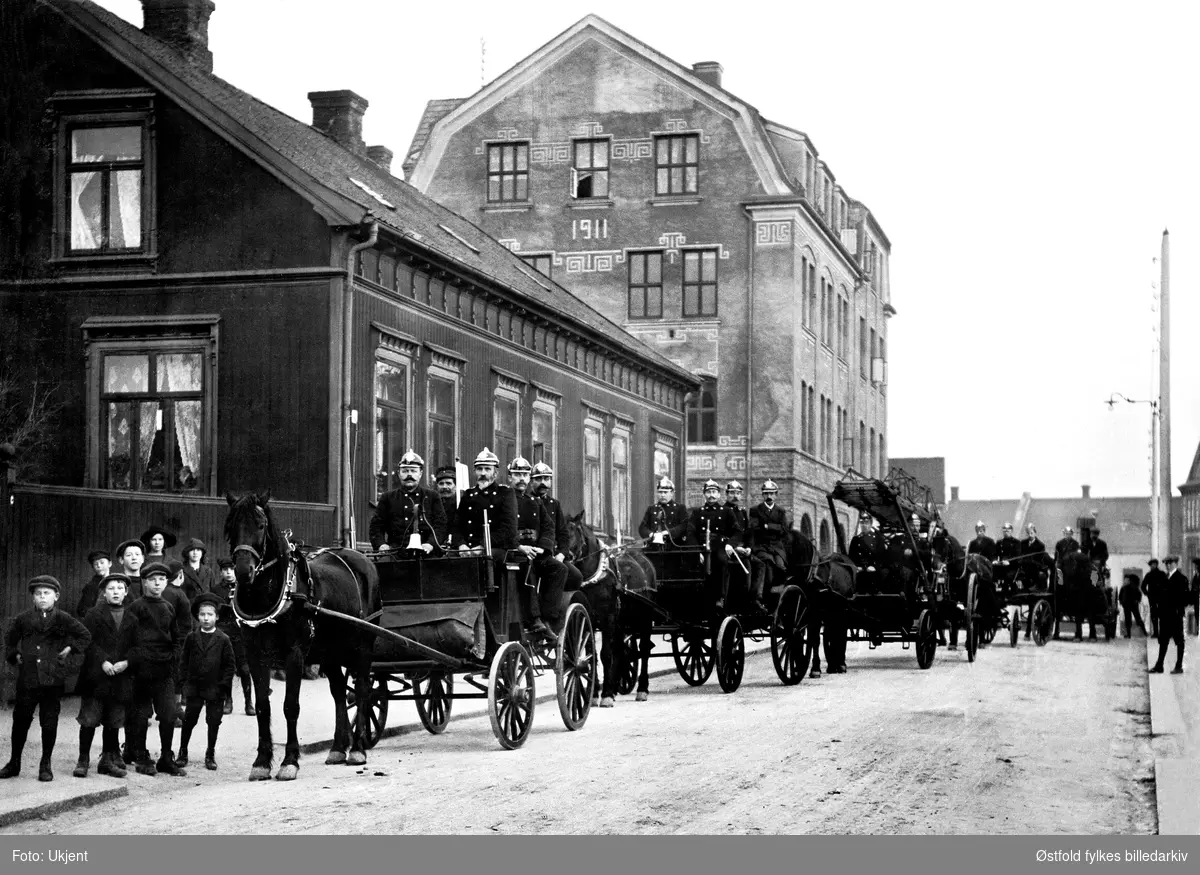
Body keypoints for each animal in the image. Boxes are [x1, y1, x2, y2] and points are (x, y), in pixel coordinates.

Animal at [223, 487, 376, 782]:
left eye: (261, 525)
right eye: (231, 526)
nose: (243, 571)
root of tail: (362, 558)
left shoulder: (294, 654)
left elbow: (290, 706)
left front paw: (289, 761)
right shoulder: (254, 653)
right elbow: (263, 706)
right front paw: (261, 762)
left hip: (363, 646)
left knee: (363, 689)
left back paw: (357, 749)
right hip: (330, 652)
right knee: (339, 693)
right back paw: (338, 748)